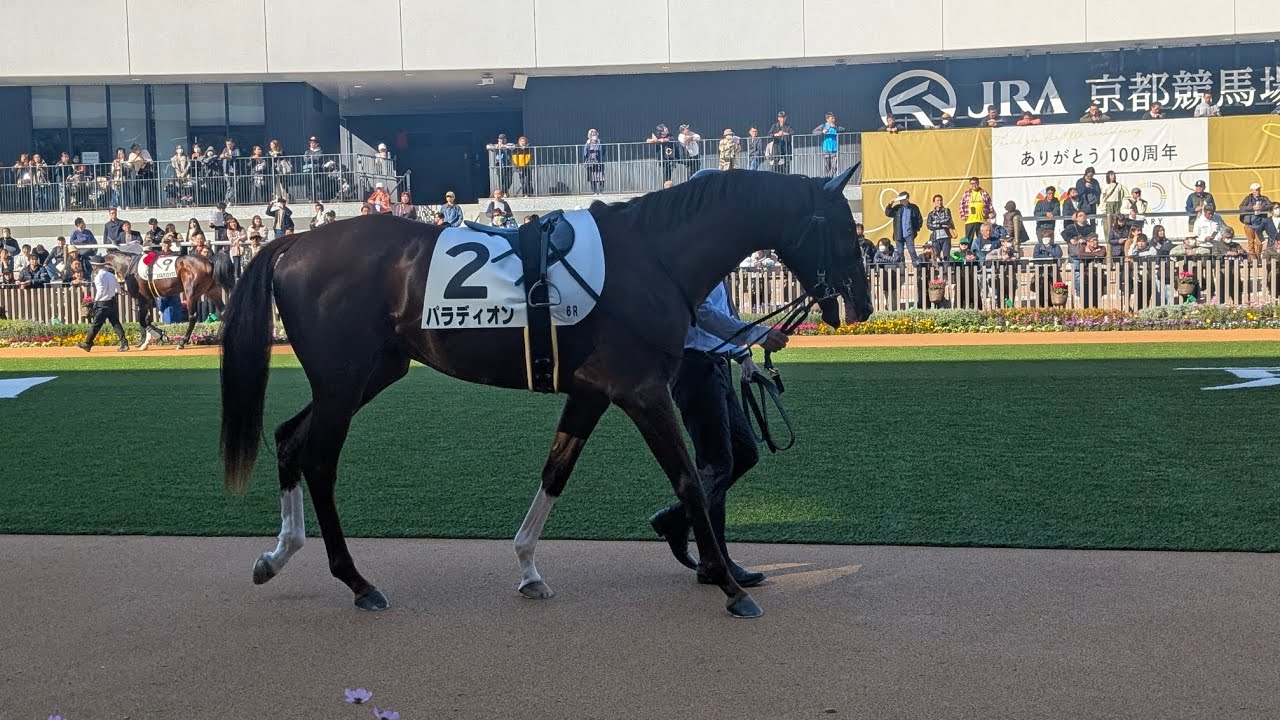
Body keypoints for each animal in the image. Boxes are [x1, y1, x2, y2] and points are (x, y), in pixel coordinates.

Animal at [104, 250, 236, 349]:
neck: (130, 266)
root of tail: (210, 261)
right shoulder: (149, 299)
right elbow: (147, 319)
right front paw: (146, 342)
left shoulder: (144, 299)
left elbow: (142, 320)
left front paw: (160, 335)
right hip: (212, 290)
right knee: (223, 311)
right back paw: (219, 338)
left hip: (191, 293)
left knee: (193, 317)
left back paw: (182, 342)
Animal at [219, 167, 872, 619]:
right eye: (845, 229)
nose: (862, 305)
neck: (651, 256)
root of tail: (292, 244)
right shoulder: (643, 392)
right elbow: (688, 476)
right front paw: (730, 585)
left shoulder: (592, 393)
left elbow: (556, 471)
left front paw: (529, 567)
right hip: (345, 382)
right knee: (318, 459)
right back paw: (356, 581)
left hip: (371, 374)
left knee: (289, 440)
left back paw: (278, 555)